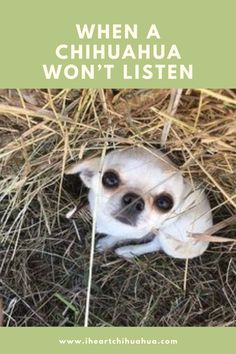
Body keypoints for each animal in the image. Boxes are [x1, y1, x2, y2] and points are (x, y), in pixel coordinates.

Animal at [65, 147, 213, 260]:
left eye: (163, 202)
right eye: (110, 179)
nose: (134, 200)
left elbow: (117, 236)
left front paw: (107, 242)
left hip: (172, 233)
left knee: (155, 244)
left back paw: (128, 250)